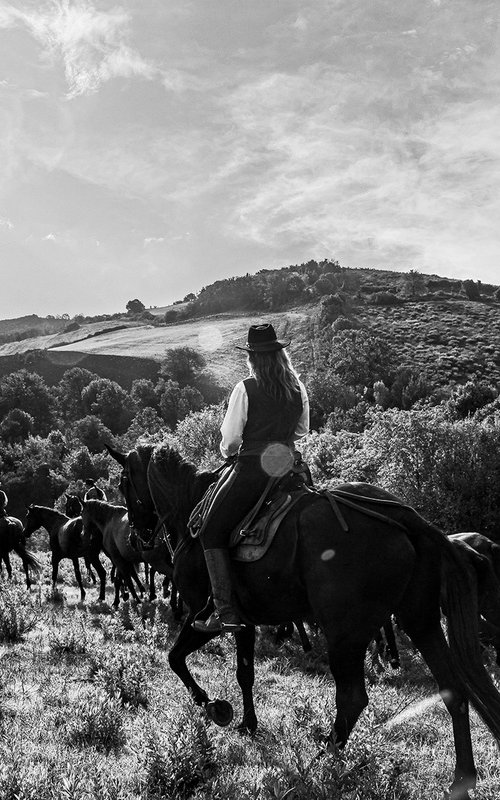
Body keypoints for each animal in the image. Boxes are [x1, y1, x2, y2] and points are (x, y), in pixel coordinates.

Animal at [107, 444, 500, 800]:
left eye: (124, 482)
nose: (136, 537)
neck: (190, 505)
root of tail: (409, 519)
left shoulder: (203, 616)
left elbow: (175, 658)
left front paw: (212, 705)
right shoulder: (244, 622)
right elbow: (244, 672)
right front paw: (248, 724)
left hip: (345, 633)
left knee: (352, 698)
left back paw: (320, 760)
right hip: (420, 622)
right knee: (453, 689)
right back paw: (461, 779)